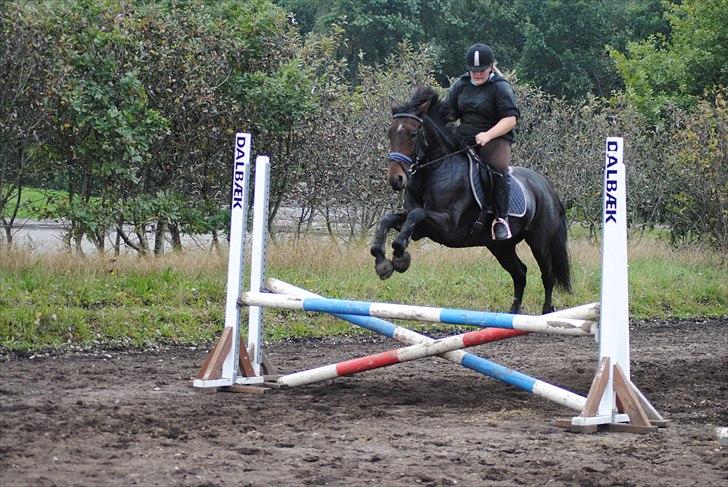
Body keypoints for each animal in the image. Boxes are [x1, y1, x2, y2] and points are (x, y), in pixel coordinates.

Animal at [372, 86, 572, 314]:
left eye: (413, 134)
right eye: (389, 133)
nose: (395, 179)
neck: (435, 170)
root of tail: (545, 186)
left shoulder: (446, 225)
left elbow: (416, 213)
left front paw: (399, 257)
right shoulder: (421, 228)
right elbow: (389, 218)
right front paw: (382, 261)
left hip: (539, 241)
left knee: (547, 274)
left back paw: (546, 311)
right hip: (500, 246)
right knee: (520, 273)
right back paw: (512, 313)